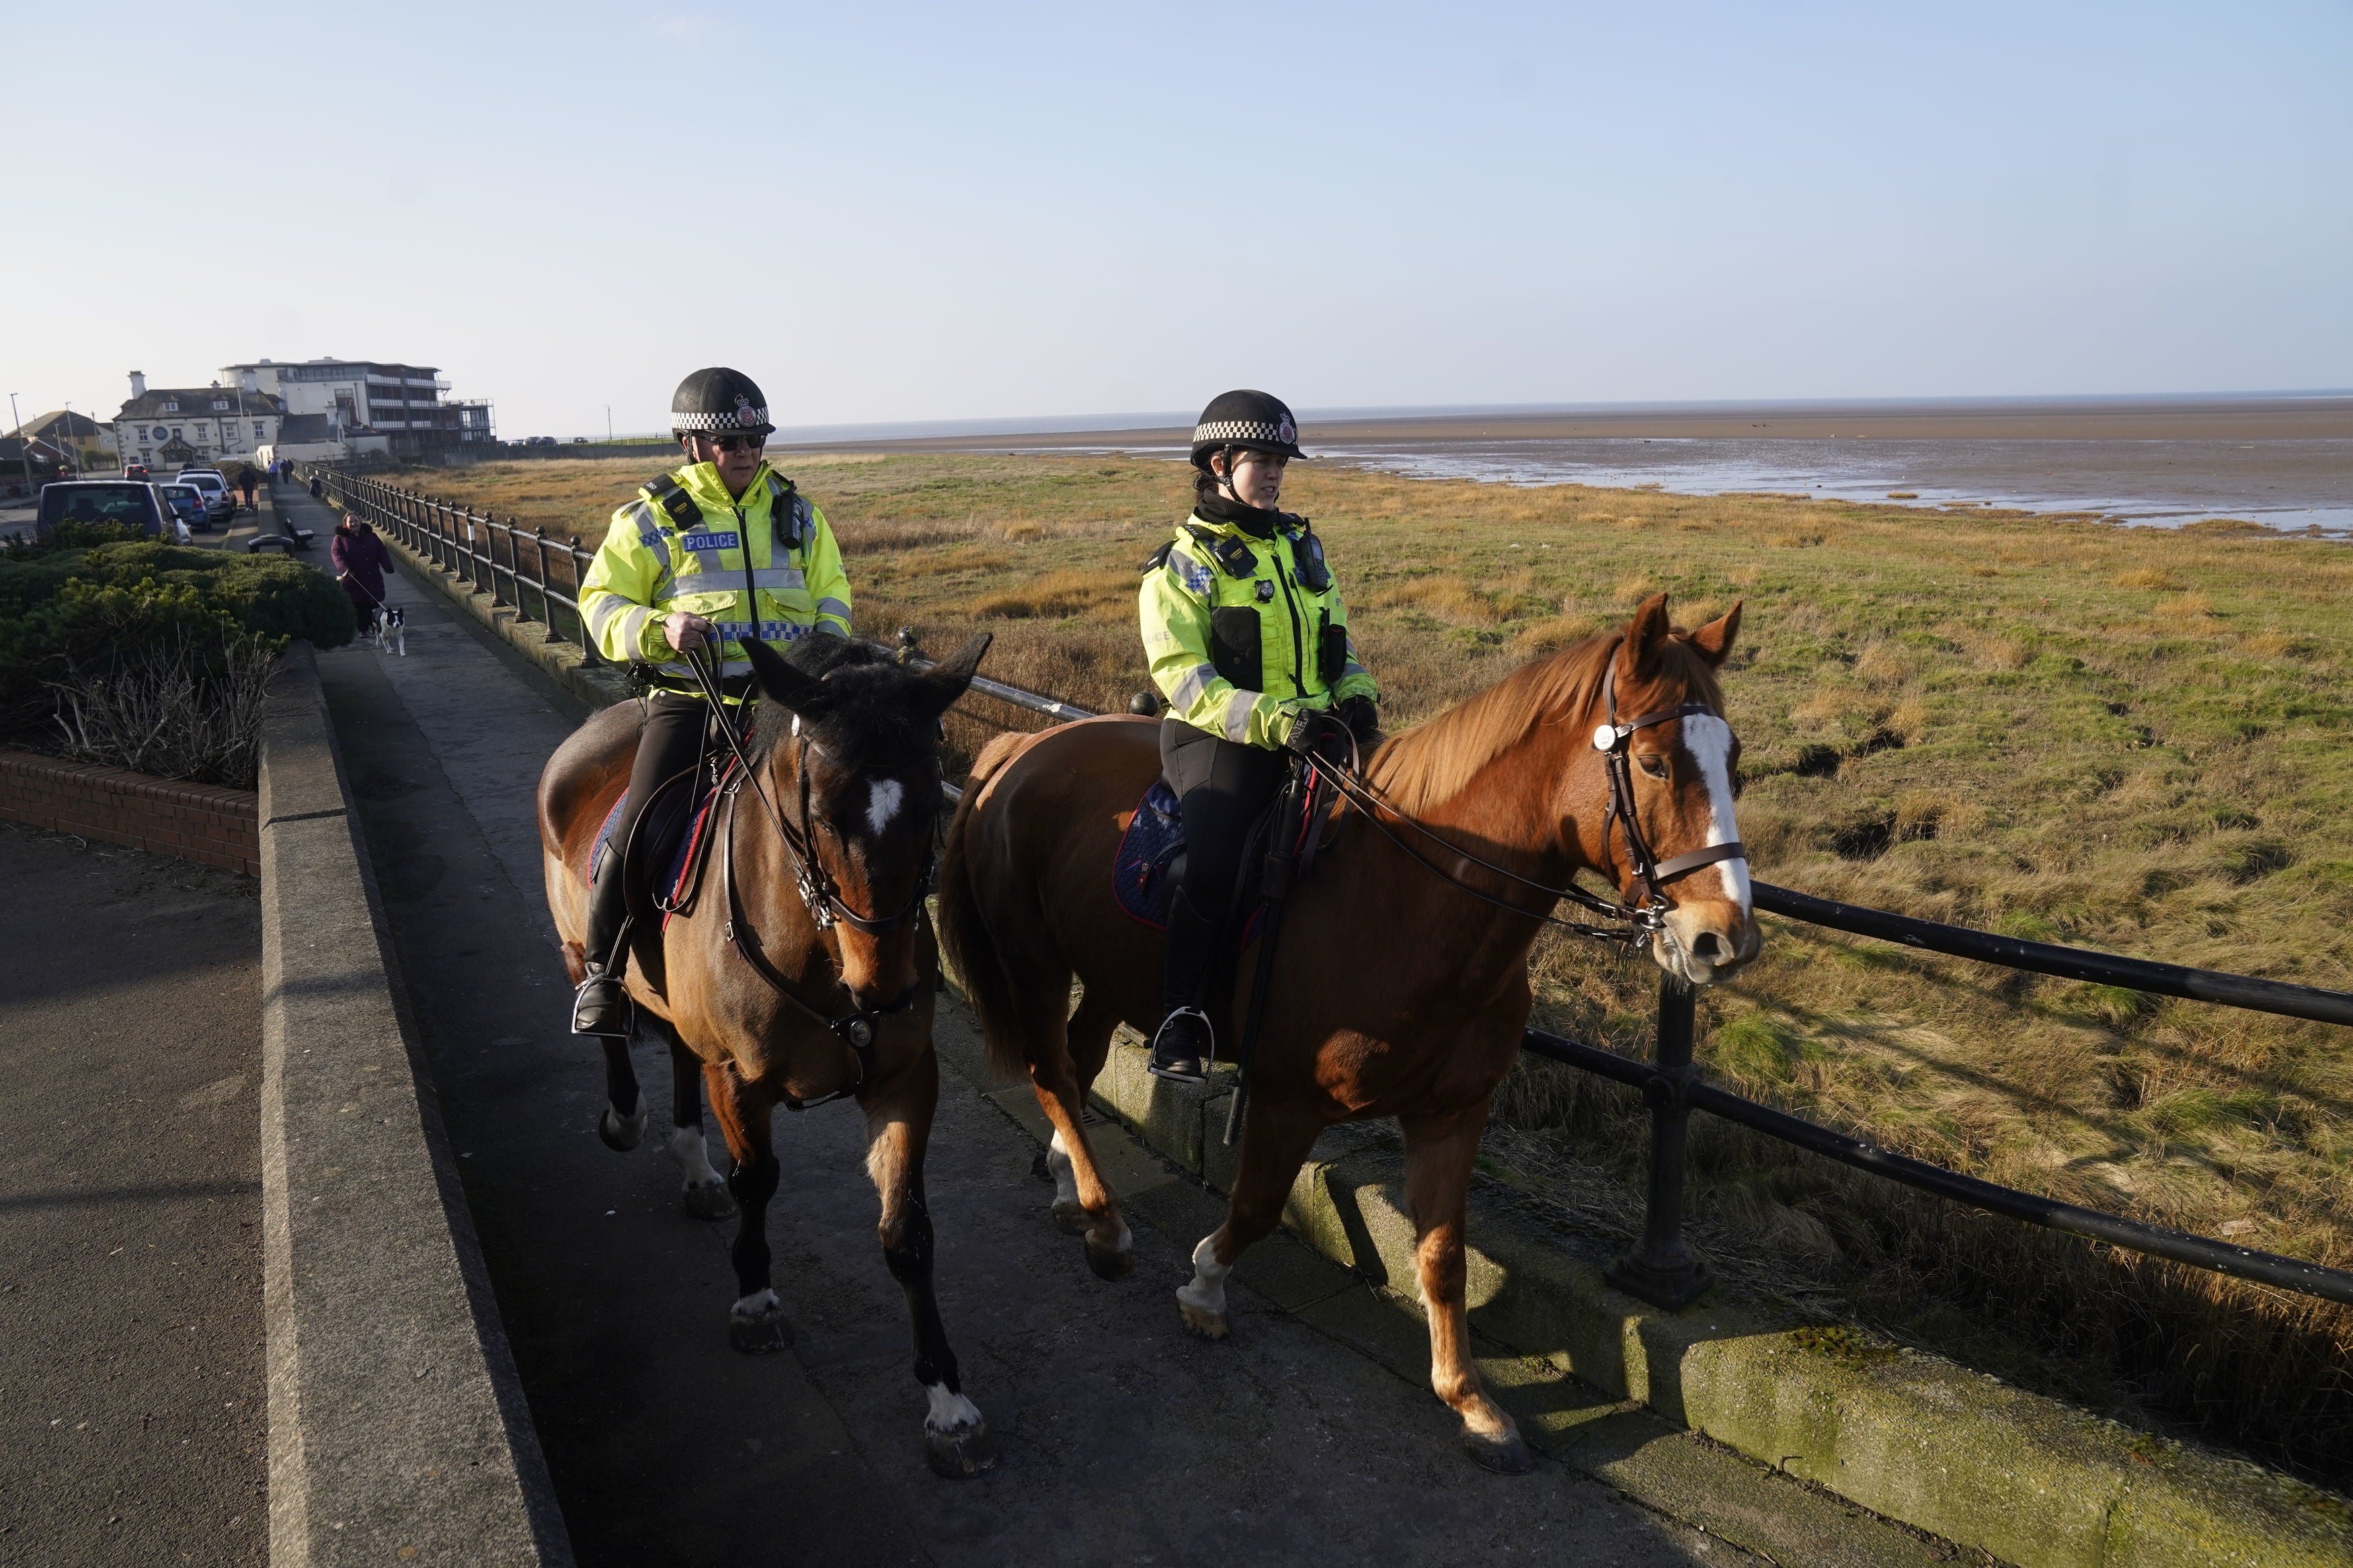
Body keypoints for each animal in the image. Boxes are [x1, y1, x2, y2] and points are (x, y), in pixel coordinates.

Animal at [539, 630, 998, 1476]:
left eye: (933, 805)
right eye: (818, 812)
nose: (886, 986)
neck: (819, 946)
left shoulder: (905, 1081)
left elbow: (907, 1232)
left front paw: (947, 1400)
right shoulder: (738, 1079)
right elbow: (758, 1180)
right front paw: (754, 1299)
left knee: (676, 1053)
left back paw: (694, 1167)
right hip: (576, 944)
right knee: (606, 1005)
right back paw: (625, 1109)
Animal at [932, 587, 1751, 1476]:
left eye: (1733, 757)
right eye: (1655, 763)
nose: (1724, 939)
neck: (1405, 900)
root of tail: (1022, 745)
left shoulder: (1451, 1112)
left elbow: (1443, 1257)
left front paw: (1469, 1399)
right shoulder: (1286, 1099)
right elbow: (1257, 1206)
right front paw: (1203, 1287)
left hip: (1106, 974)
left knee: (1077, 1066)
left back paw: (1068, 1186)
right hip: (1035, 962)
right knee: (1050, 1073)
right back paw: (1106, 1222)